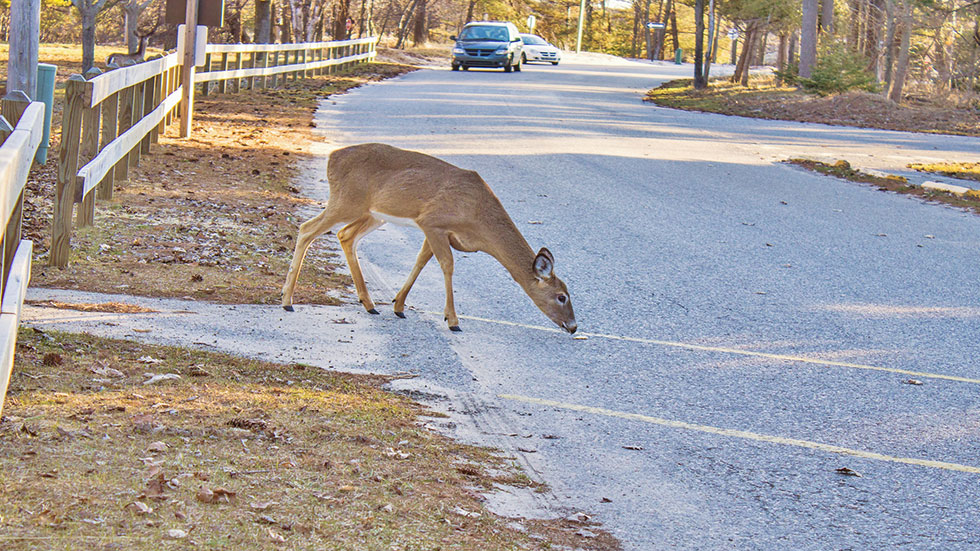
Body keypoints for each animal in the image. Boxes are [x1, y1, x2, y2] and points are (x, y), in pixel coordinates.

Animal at [280, 142, 580, 334]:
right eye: (562, 296)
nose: (574, 326)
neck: (478, 216)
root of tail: (332, 156)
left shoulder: (434, 230)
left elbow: (421, 261)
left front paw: (399, 305)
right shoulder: (433, 222)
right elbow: (447, 265)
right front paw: (453, 319)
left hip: (373, 213)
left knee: (345, 235)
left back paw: (369, 304)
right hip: (346, 201)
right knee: (307, 228)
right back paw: (287, 301)